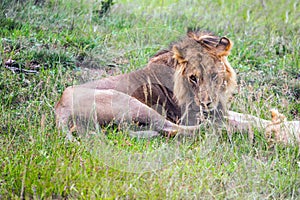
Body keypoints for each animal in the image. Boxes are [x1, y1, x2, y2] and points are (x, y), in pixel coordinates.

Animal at [55, 30, 298, 142]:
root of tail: (59, 109)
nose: (206, 102)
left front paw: (282, 122)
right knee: (174, 129)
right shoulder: (192, 114)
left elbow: (251, 117)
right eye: (194, 78)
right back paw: (215, 129)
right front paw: (279, 130)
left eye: (213, 75)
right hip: (130, 102)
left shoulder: (217, 109)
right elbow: (246, 123)